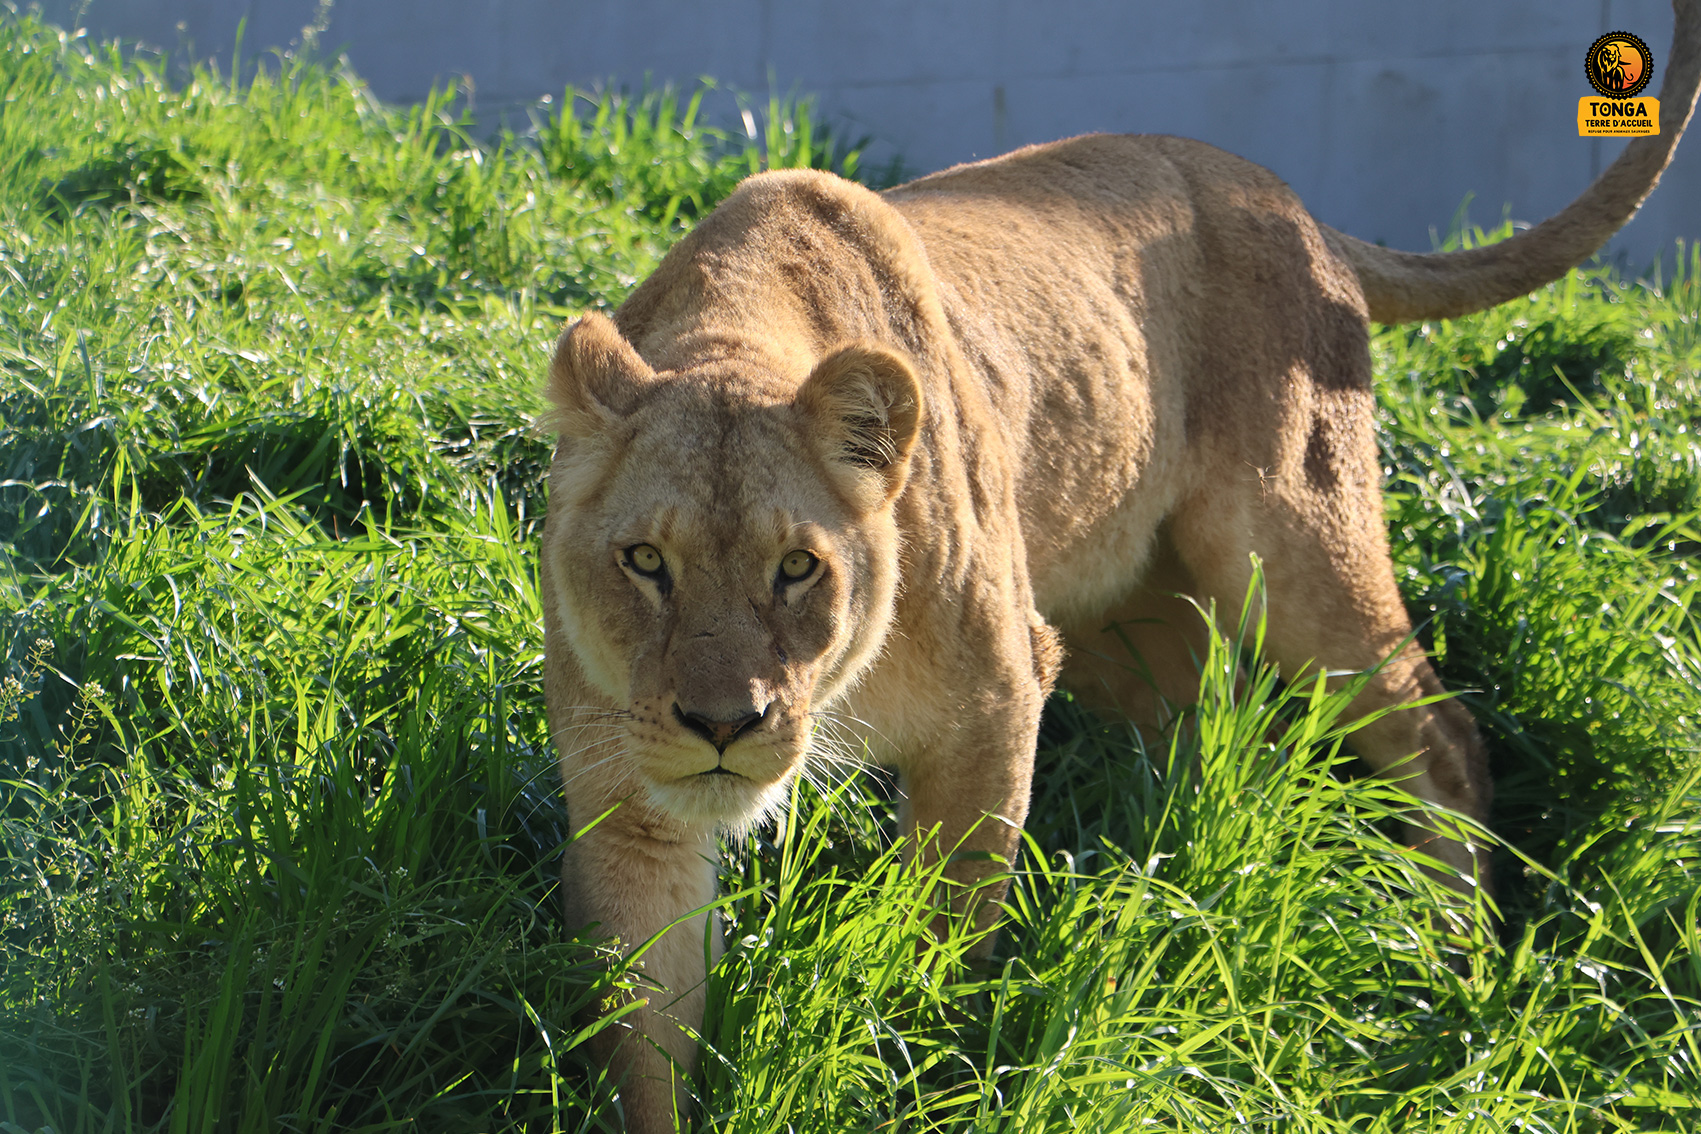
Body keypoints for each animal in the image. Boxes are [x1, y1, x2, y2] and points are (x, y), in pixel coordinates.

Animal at [539, 5, 1700, 1129]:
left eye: (796, 569)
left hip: (1291, 542)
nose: (721, 726)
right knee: (1225, 741)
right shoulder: (628, 795)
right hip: (1119, 624)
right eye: (644, 562)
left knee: (1439, 733)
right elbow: (644, 1038)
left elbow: (940, 949)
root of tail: (1296, 203)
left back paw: (1450, 965)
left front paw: (921, 1076)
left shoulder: (993, 705)